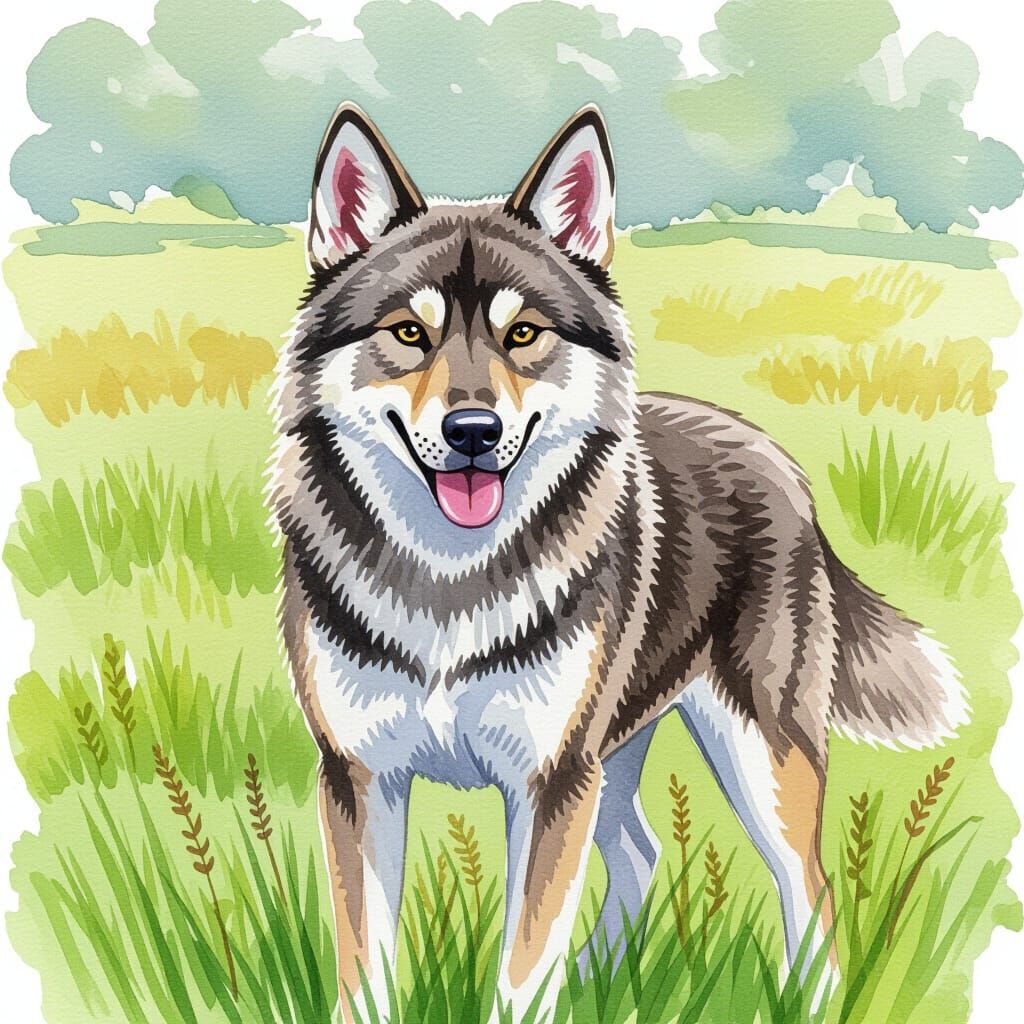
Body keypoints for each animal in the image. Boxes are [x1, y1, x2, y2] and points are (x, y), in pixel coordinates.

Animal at [270, 101, 967, 1022]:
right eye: (409, 334)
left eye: (523, 334)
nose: (473, 432)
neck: (451, 578)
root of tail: (777, 457)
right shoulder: (361, 780)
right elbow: (370, 972)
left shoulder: (550, 780)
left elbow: (522, 970)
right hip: (616, 748)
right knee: (641, 855)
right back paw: (606, 981)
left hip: (752, 757)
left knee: (809, 889)